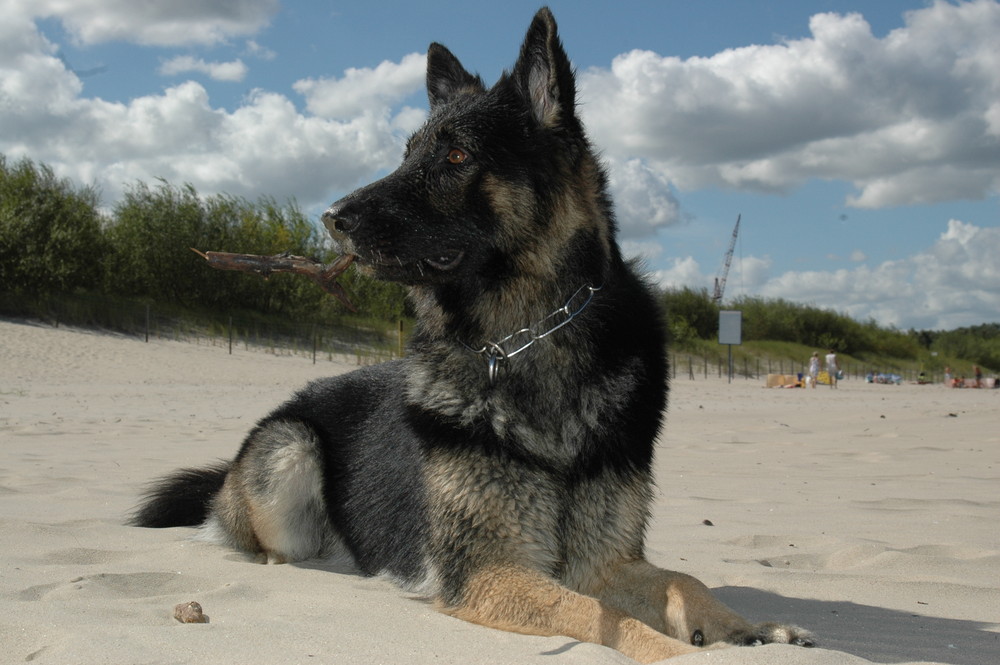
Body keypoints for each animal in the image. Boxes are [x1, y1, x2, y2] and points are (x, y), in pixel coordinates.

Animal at [133, 7, 816, 660]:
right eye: (408, 156)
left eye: (456, 157)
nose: (332, 219)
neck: (530, 338)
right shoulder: (490, 571)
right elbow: (609, 619)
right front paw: (676, 650)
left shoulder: (604, 562)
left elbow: (684, 582)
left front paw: (750, 630)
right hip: (290, 446)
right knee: (279, 550)